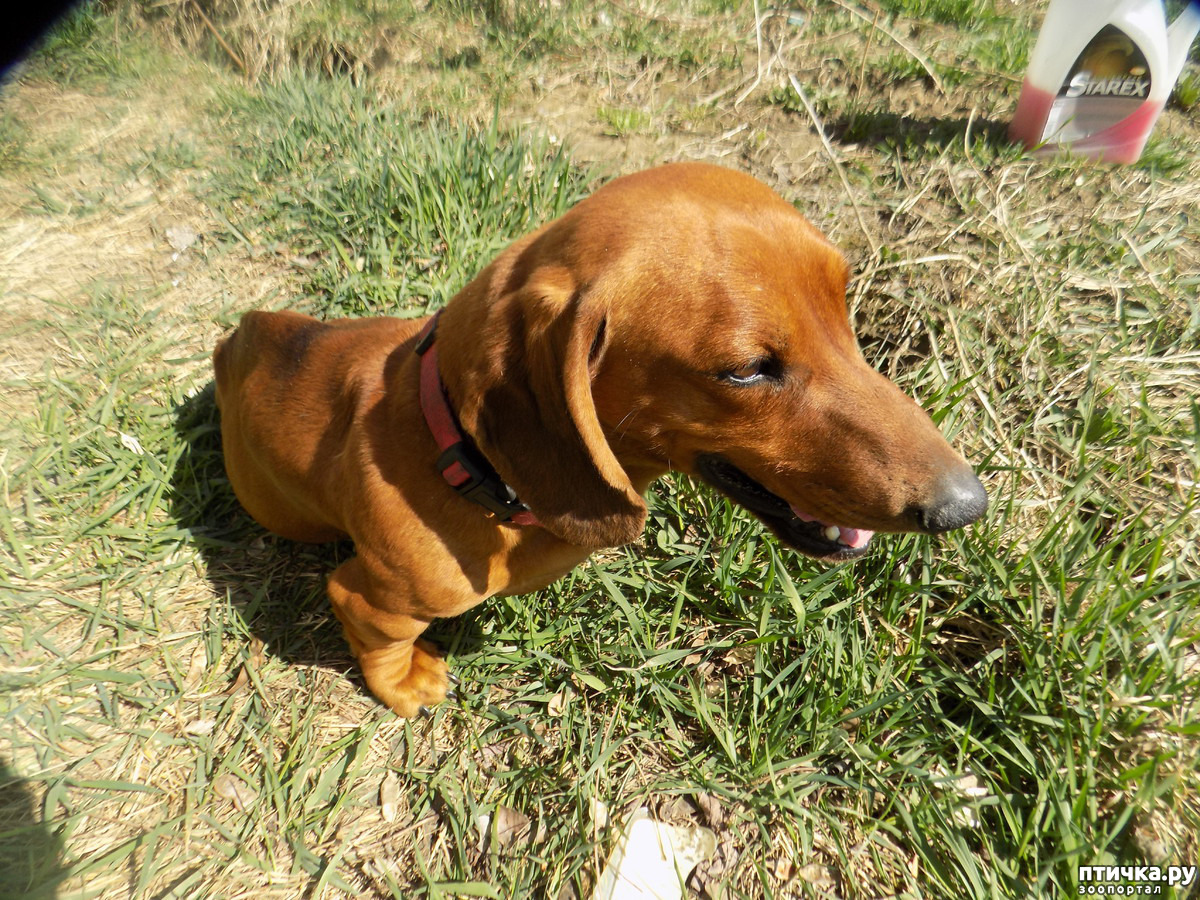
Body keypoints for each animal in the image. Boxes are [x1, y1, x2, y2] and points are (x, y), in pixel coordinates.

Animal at [213, 162, 988, 717]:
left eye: (845, 309)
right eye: (744, 370)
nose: (967, 506)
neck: (463, 455)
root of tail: (239, 334)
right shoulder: (367, 600)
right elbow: (381, 643)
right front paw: (406, 685)